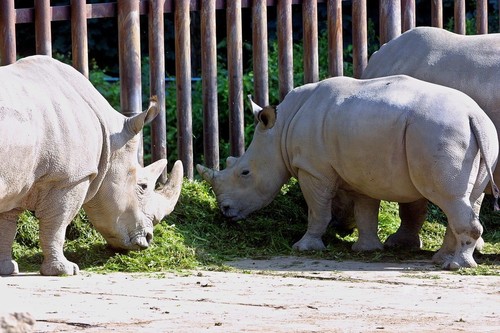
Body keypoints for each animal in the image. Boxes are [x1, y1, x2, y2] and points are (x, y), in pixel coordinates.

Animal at [0, 56, 184, 274]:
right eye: (143, 186)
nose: (148, 239)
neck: (111, 139)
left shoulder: (17, 178)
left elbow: (6, 226)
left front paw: (7, 269)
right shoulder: (69, 179)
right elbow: (56, 225)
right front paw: (65, 270)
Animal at [197, 74, 498, 268]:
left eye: (244, 173)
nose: (225, 211)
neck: (280, 130)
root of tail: (472, 115)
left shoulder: (313, 170)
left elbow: (317, 210)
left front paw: (303, 247)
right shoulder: (362, 172)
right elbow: (365, 211)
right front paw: (366, 249)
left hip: (438, 133)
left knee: (450, 199)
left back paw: (456, 266)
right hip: (482, 134)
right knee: (469, 199)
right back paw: (443, 260)